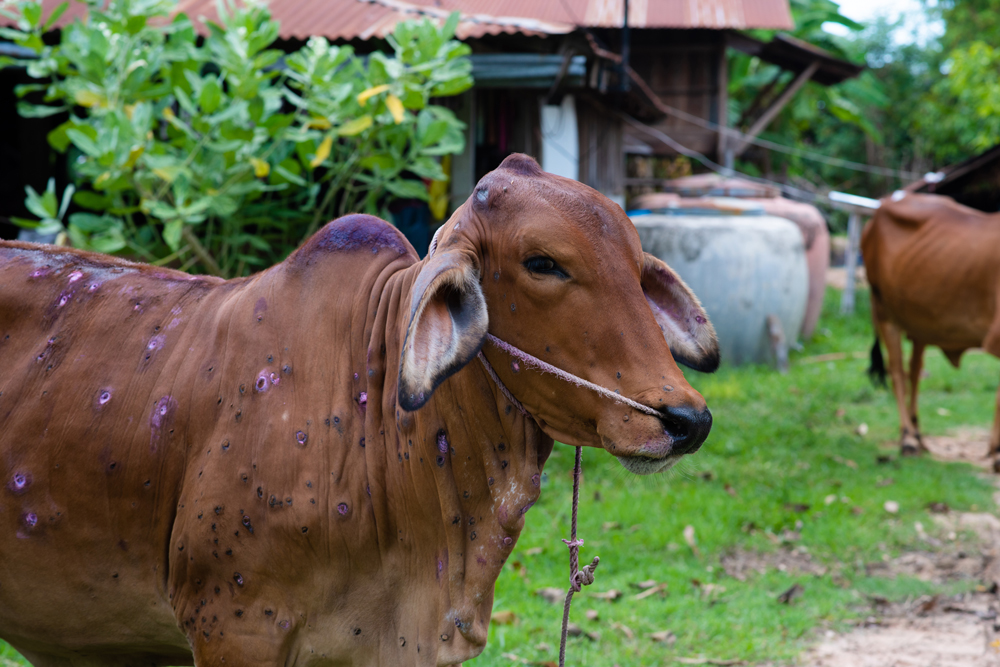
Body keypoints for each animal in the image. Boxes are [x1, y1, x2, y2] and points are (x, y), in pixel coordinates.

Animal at [863, 192, 1000, 467]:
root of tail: (886, 202)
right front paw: (997, 452)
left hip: (921, 322)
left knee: (914, 371)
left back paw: (917, 434)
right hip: (884, 312)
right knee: (897, 372)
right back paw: (908, 439)